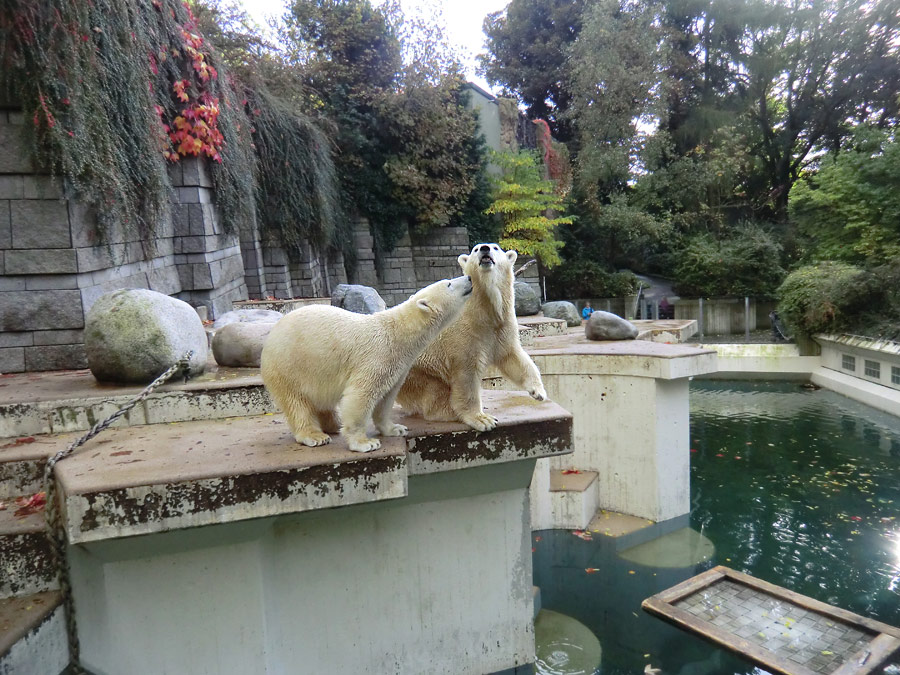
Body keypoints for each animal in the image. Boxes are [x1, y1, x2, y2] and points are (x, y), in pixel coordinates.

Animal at [258, 274, 472, 454]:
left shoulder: (397, 366)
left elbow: (386, 397)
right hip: (288, 366)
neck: (397, 333)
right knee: (296, 403)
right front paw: (365, 443)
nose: (469, 278)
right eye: (449, 283)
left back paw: (333, 424)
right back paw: (315, 435)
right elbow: (360, 396)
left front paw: (395, 428)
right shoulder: (376, 357)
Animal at [400, 244, 548, 434]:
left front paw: (538, 391)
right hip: (415, 371)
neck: (484, 310)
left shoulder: (503, 326)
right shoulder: (465, 336)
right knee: (432, 389)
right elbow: (466, 376)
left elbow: (513, 356)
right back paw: (449, 411)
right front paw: (483, 420)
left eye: (496, 247)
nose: (485, 248)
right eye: (475, 249)